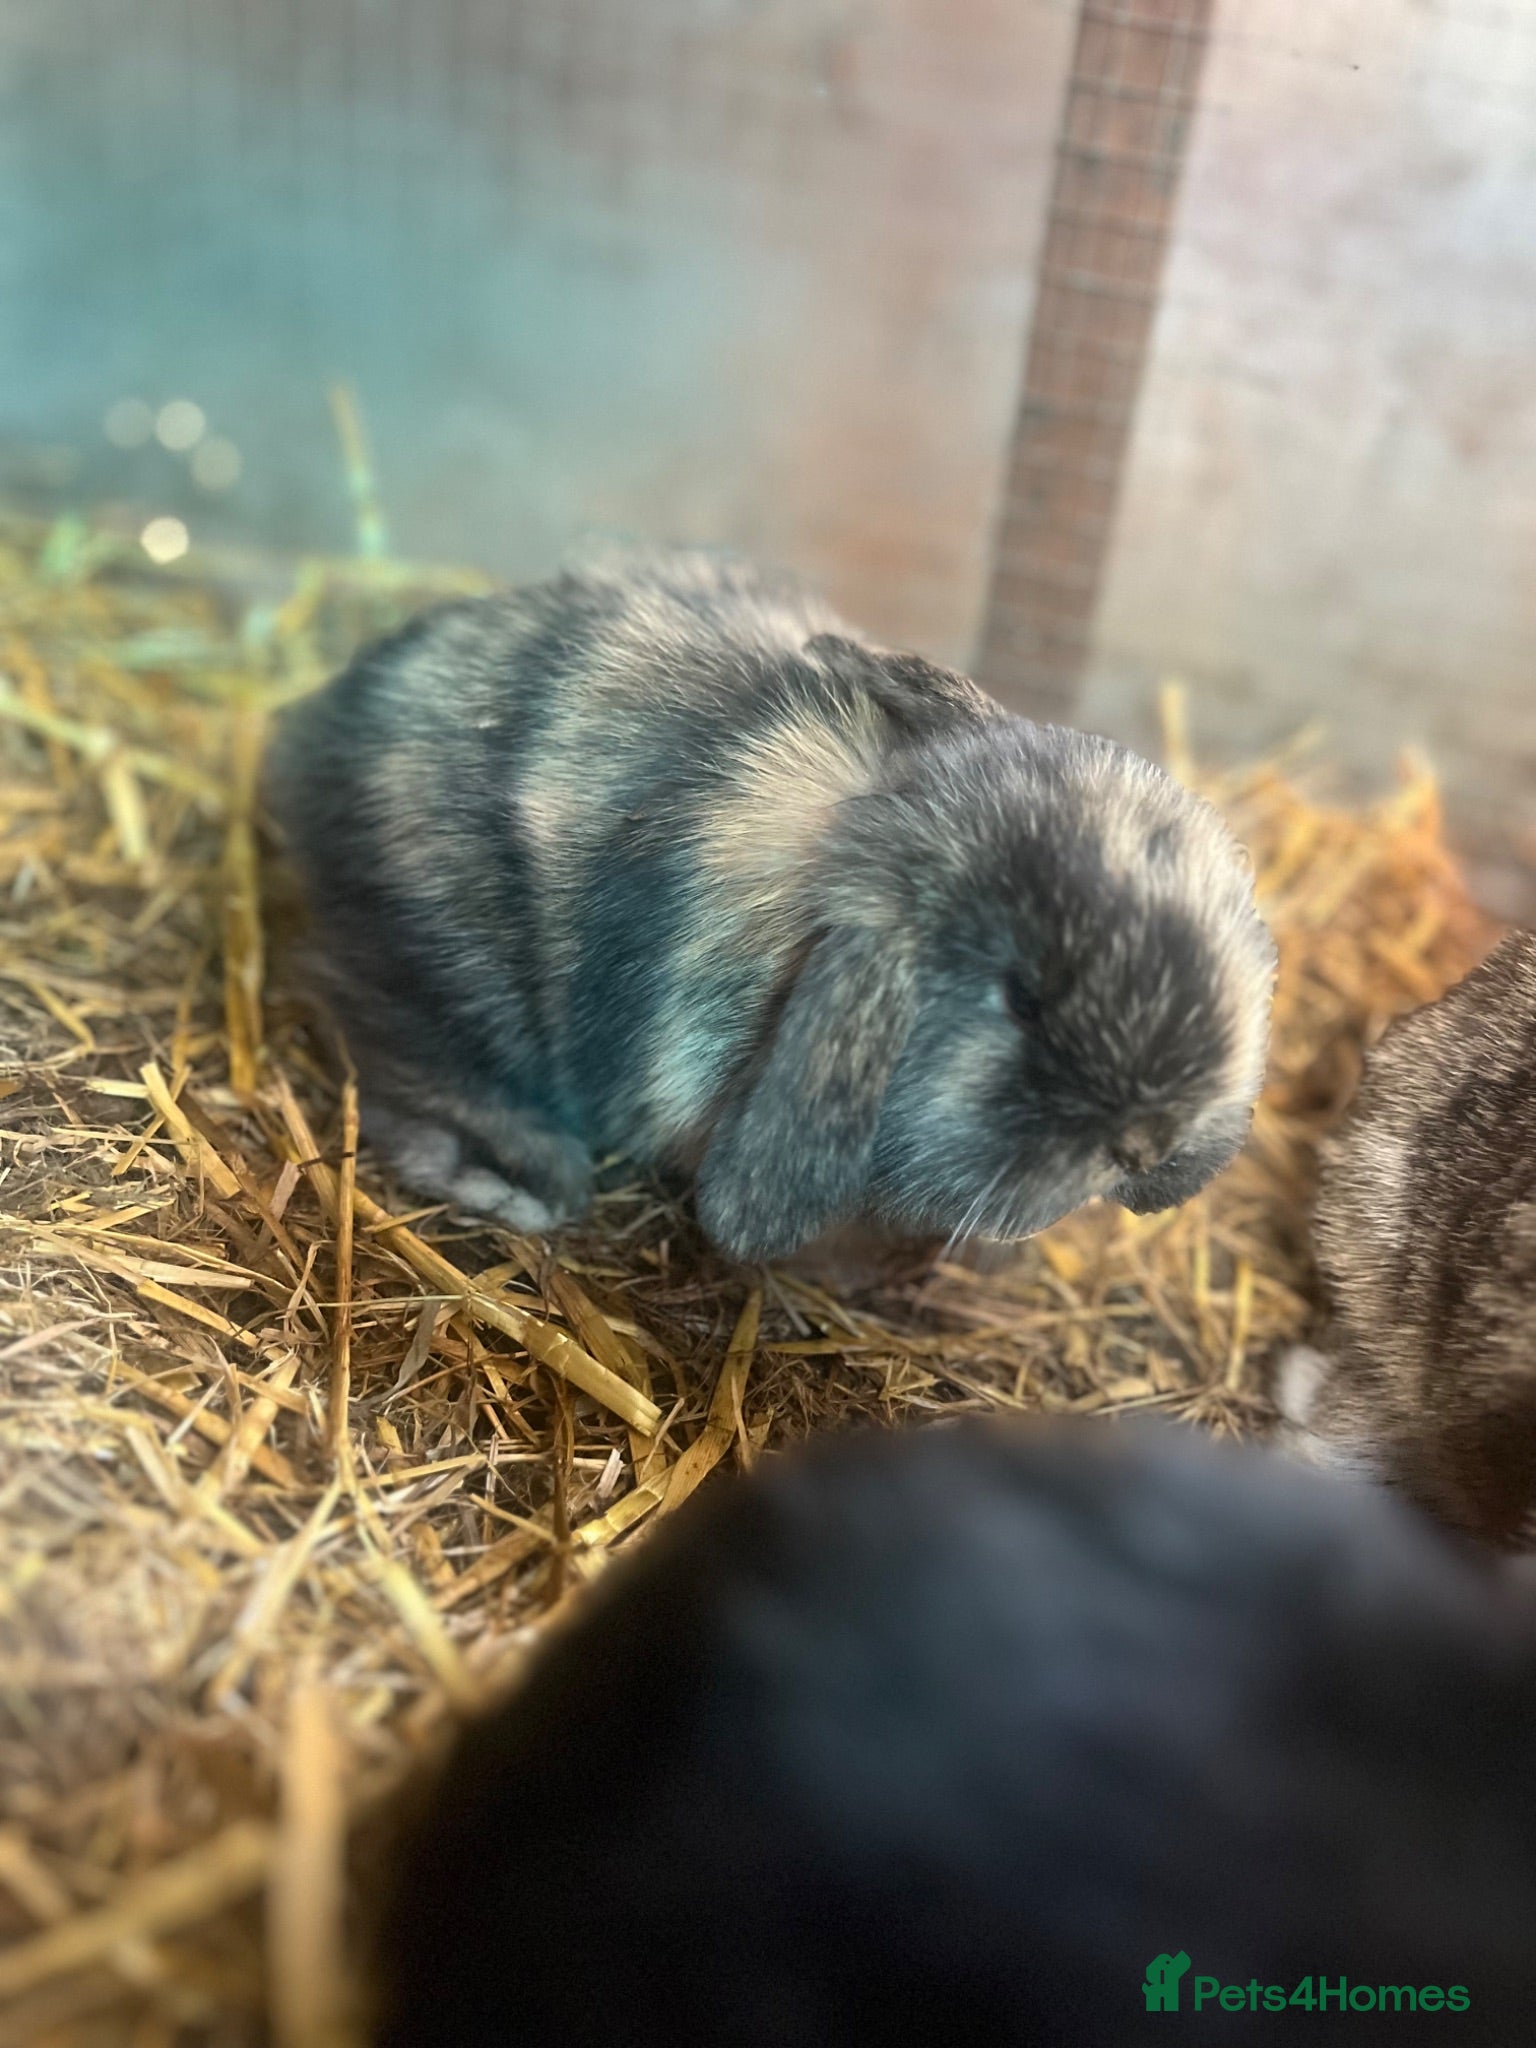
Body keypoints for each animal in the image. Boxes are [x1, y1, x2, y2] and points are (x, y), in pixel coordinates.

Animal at [266, 548, 1275, 1262]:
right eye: (1020, 999)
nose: (1148, 1144)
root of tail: (303, 739)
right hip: (438, 974)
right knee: (387, 1053)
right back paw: (515, 1177)